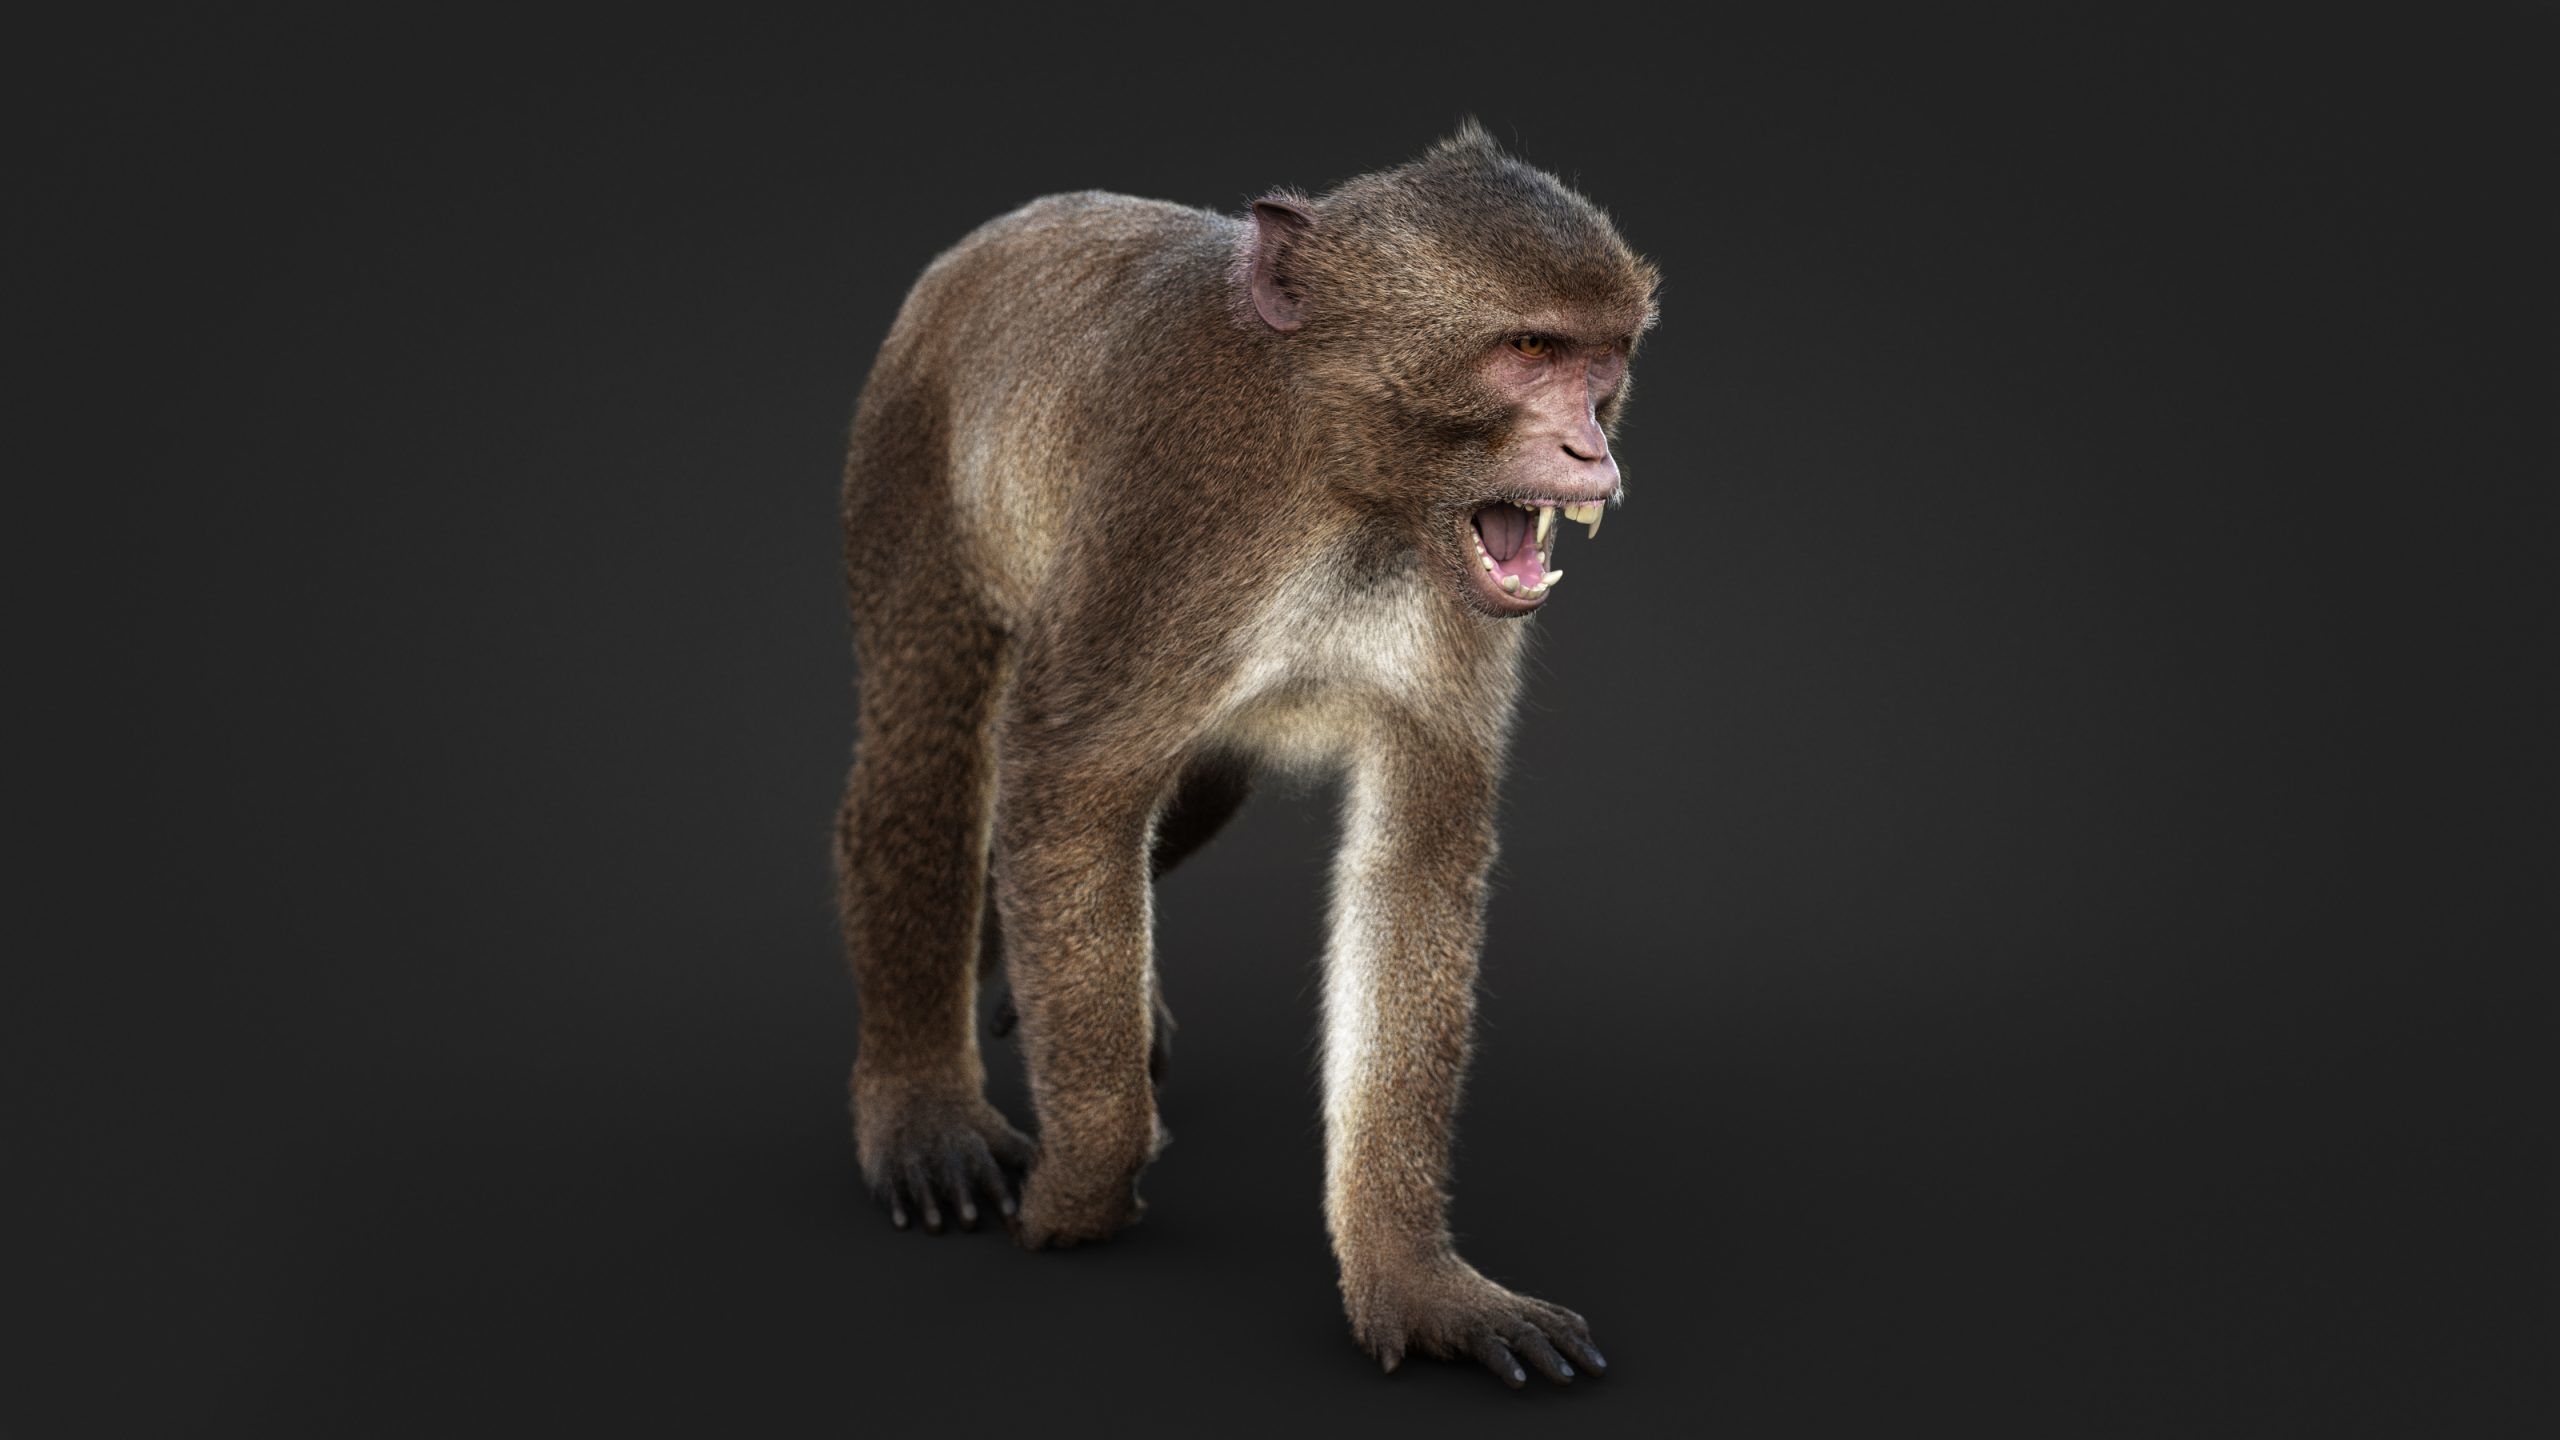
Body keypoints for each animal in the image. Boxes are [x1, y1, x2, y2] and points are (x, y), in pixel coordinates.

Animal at [833, 124, 1657, 1388]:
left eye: (1602, 357)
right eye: (1528, 349)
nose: (1591, 447)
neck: (1341, 475)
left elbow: (1411, 861)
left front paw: (1413, 1282)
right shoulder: (1178, 517)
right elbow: (1066, 788)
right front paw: (1082, 1190)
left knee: (1196, 788)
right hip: (908, 450)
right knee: (934, 732)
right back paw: (919, 1093)